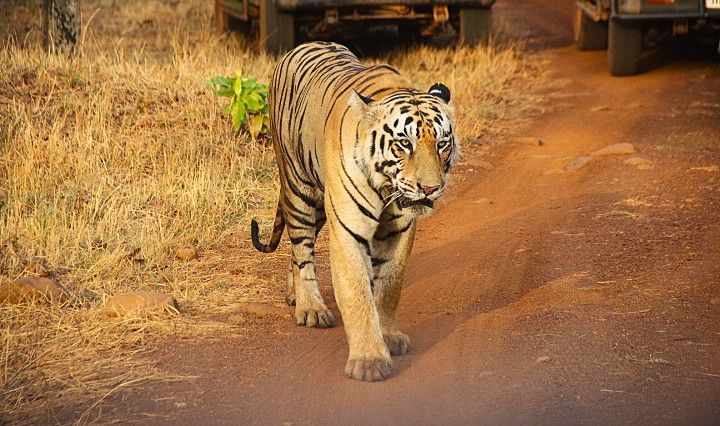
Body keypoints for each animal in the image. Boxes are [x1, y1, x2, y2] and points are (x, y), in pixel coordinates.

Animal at [251, 41, 458, 381]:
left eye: (442, 143)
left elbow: (389, 287)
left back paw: (294, 294)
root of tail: (302, 45)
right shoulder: (347, 228)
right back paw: (310, 307)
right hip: (300, 189)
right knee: (302, 247)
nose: (430, 188)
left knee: (298, 246)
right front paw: (369, 361)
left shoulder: (399, 230)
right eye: (404, 143)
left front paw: (388, 337)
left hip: (322, 205)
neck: (387, 187)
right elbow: (357, 292)